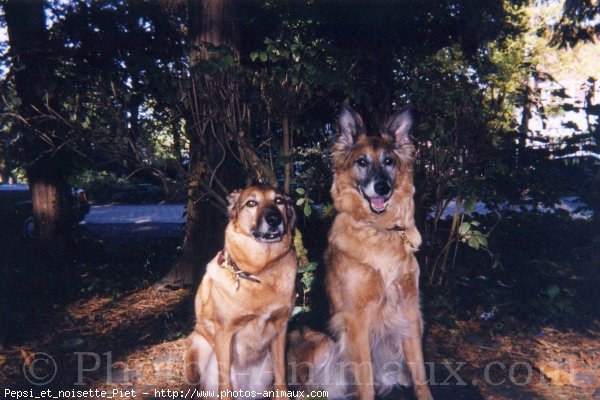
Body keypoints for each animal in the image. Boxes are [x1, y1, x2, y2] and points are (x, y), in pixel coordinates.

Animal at [183, 187, 296, 400]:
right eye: (251, 203)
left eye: (279, 201)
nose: (274, 219)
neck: (260, 272)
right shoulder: (225, 332)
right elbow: (225, 383)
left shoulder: (280, 329)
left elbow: (282, 379)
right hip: (198, 346)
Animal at [290, 105, 432, 400]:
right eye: (362, 162)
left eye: (389, 161)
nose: (382, 188)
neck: (379, 230)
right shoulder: (356, 322)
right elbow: (365, 381)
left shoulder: (410, 312)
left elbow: (420, 374)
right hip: (321, 343)